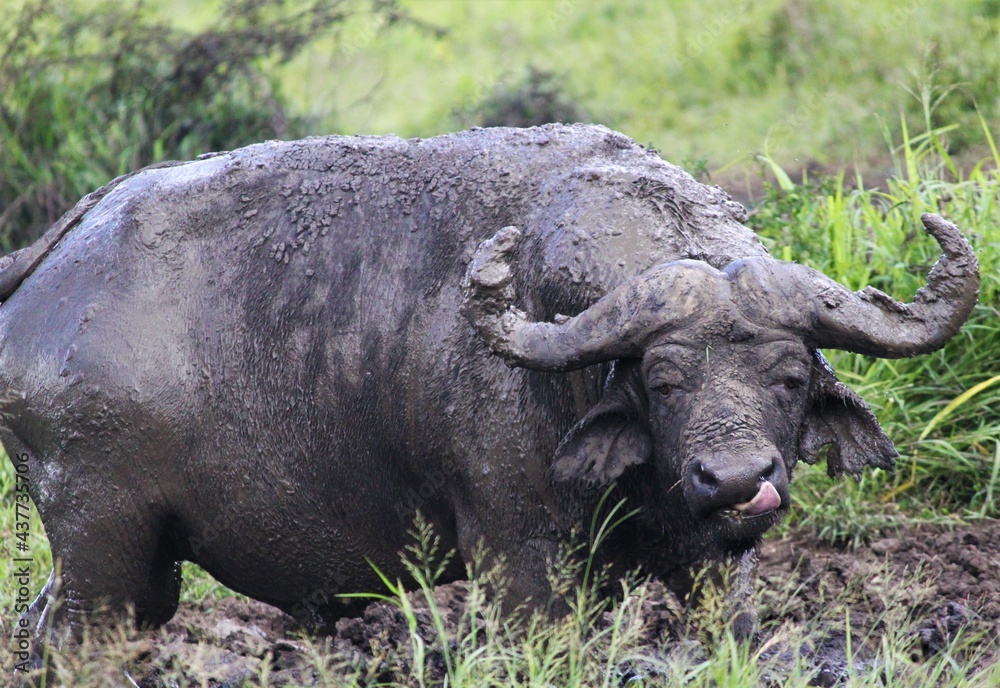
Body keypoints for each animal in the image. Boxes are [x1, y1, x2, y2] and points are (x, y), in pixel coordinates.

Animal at [0, 124, 978, 652]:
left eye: (789, 374)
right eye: (664, 378)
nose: (738, 480)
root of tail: (53, 255)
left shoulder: (712, 568)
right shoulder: (522, 564)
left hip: (129, 562)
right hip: (102, 539)